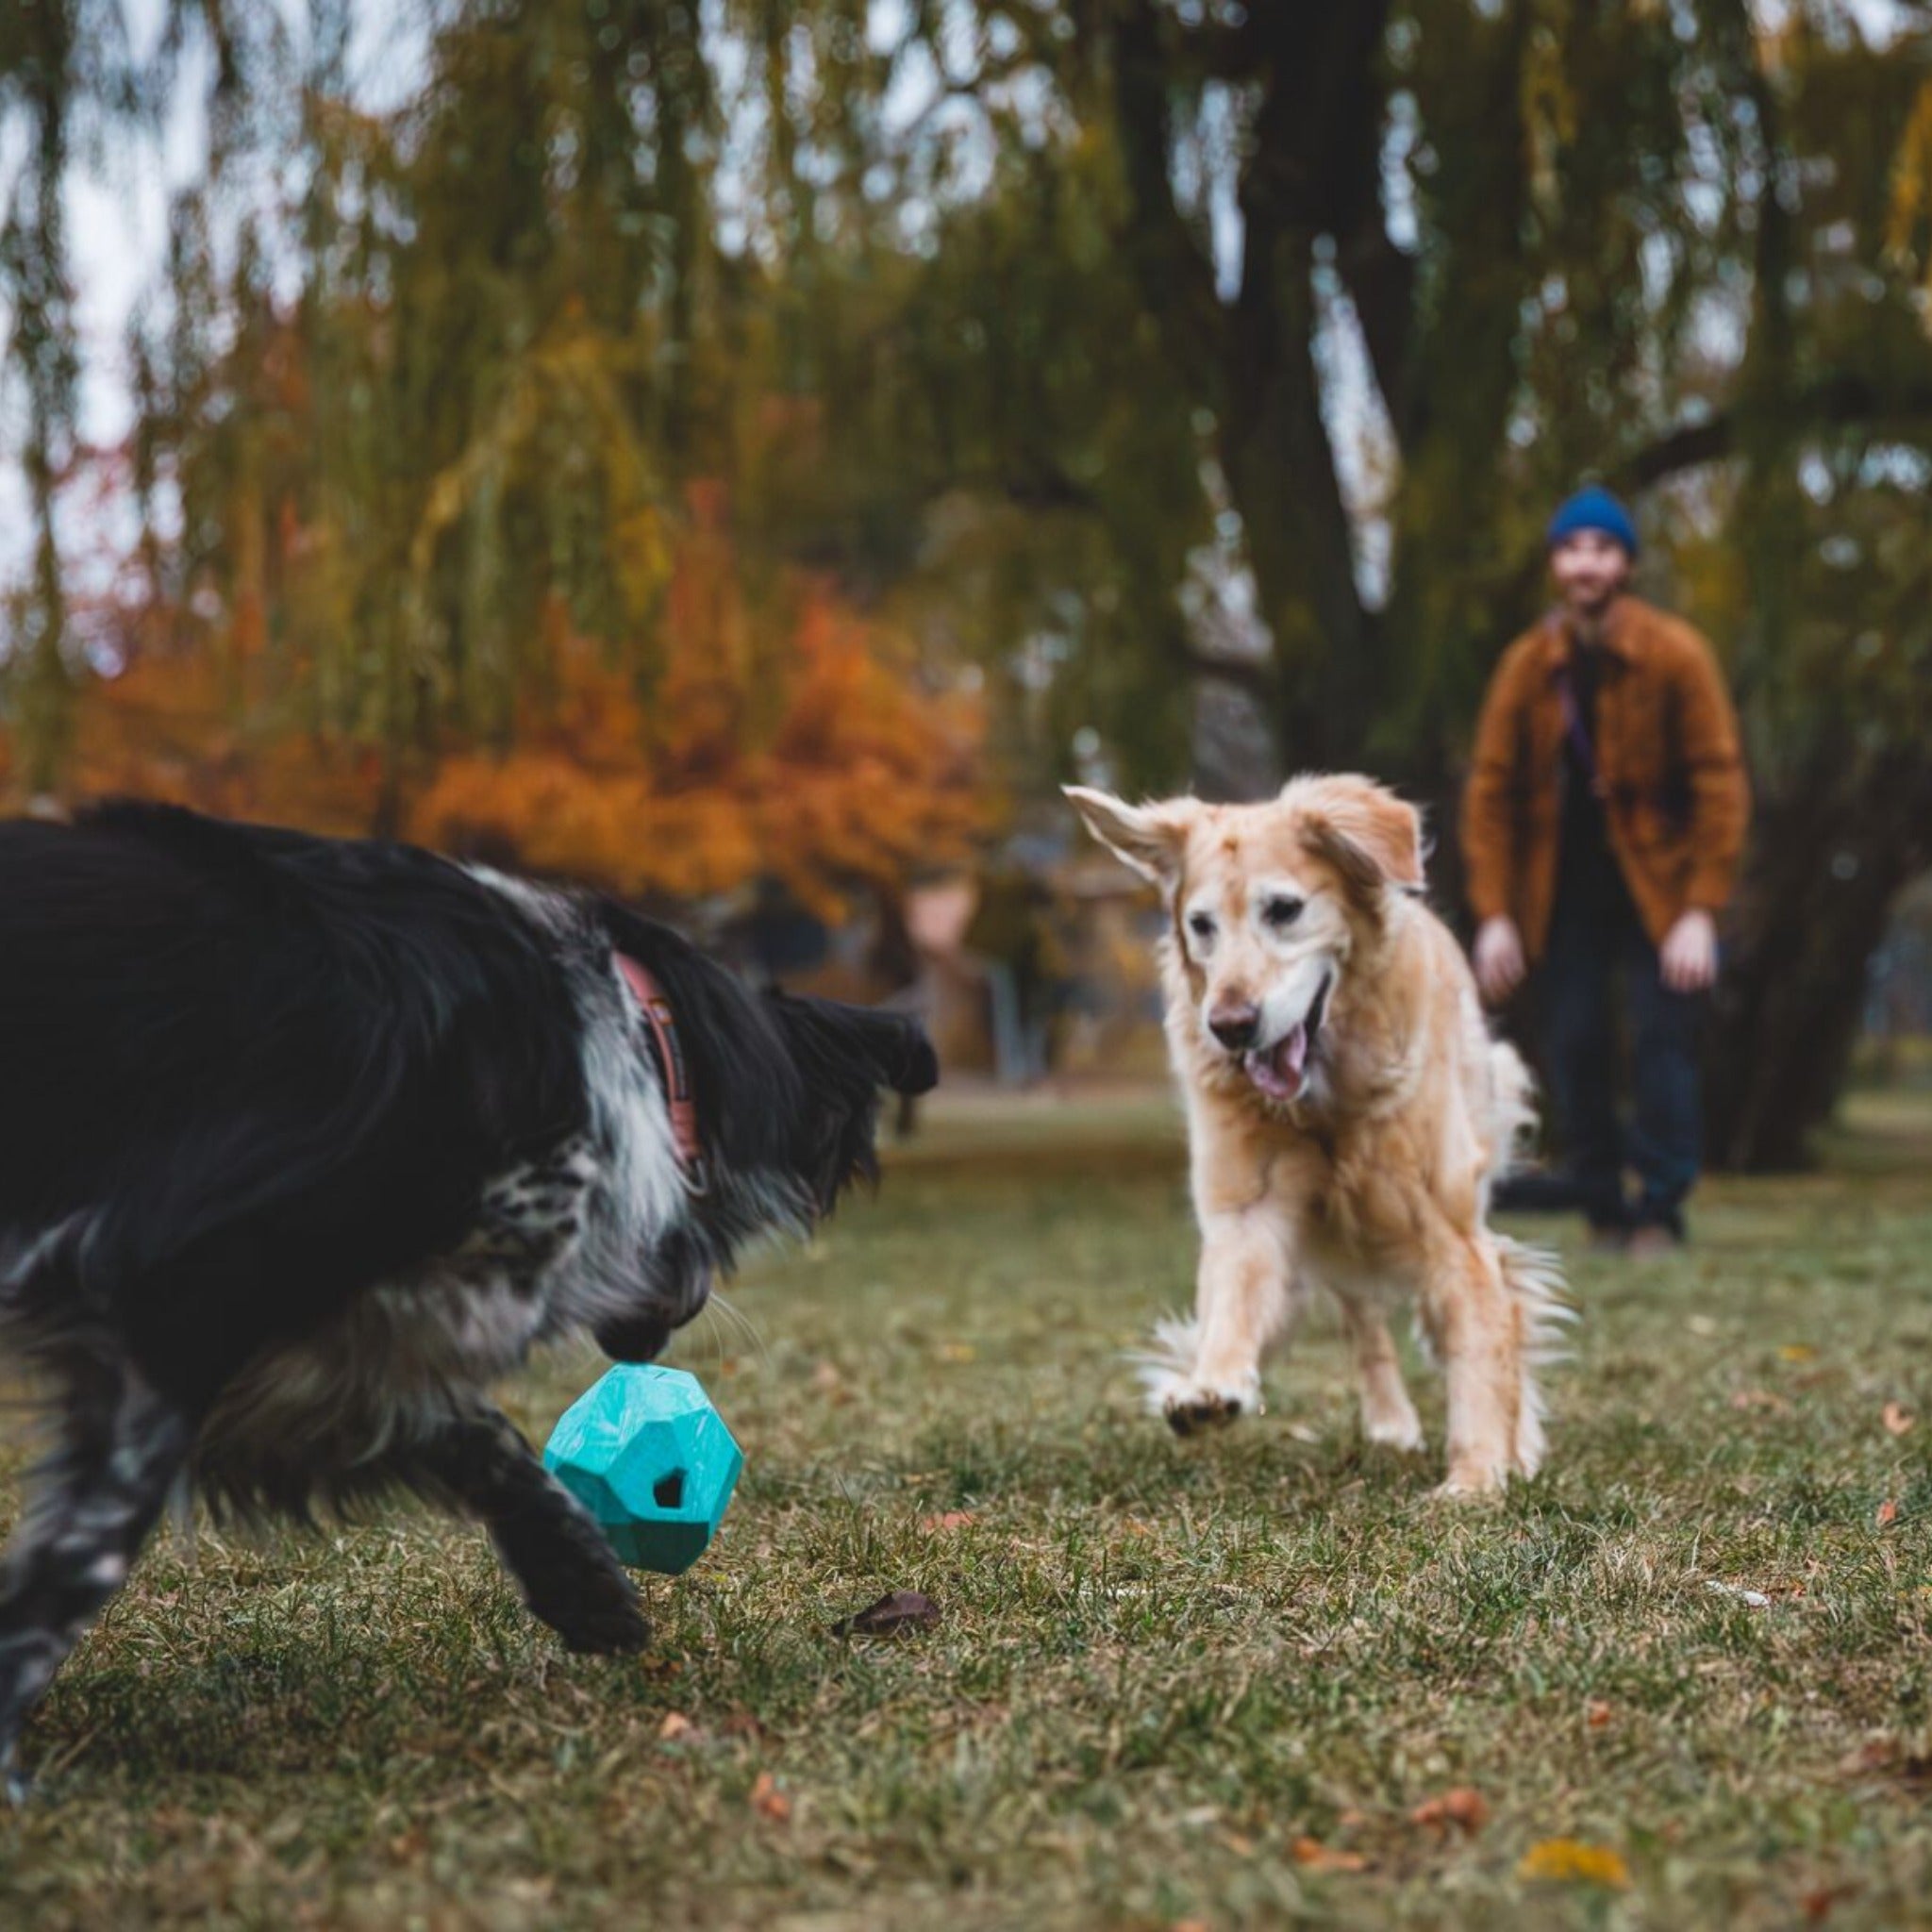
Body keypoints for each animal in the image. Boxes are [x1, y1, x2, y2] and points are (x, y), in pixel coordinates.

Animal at [0, 803, 935, 1792]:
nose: (665, 1330)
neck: (624, 1041)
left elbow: (466, 1428)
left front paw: (578, 1580)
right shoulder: (178, 1292)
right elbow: (77, 1565)